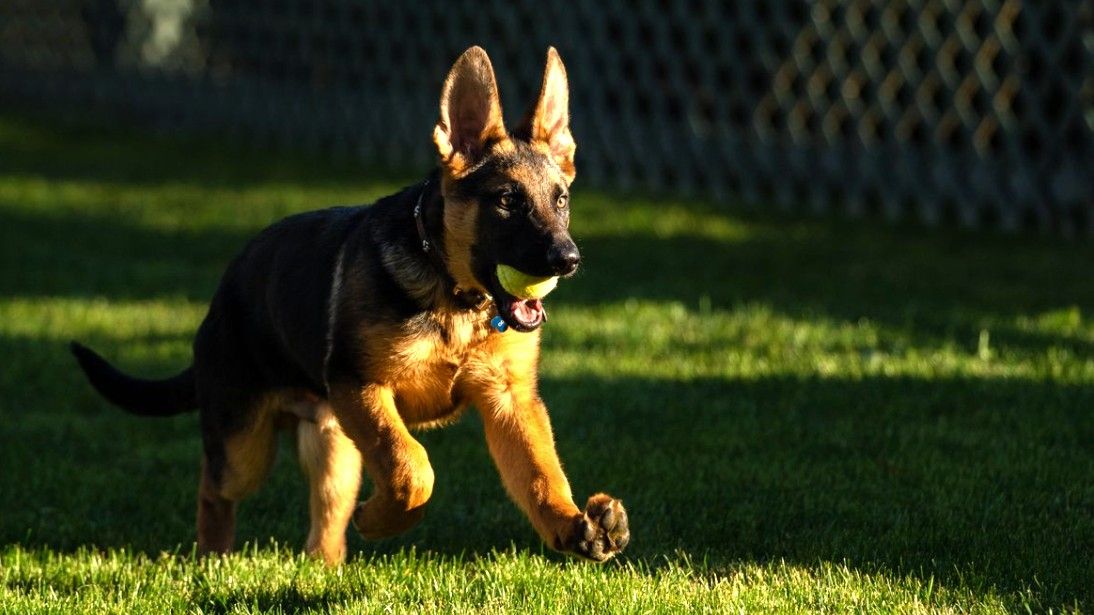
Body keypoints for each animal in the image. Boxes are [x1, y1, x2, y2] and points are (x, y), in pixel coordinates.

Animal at [68, 46, 630, 564]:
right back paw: (214, 556)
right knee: (214, 485)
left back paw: (325, 567)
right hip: (246, 443)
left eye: (561, 200)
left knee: (326, 518)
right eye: (507, 201)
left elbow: (540, 474)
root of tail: (223, 293)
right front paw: (382, 520)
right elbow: (413, 466)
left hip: (334, 445)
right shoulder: (362, 386)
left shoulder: (509, 401)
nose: (568, 260)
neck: (454, 298)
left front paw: (573, 525)